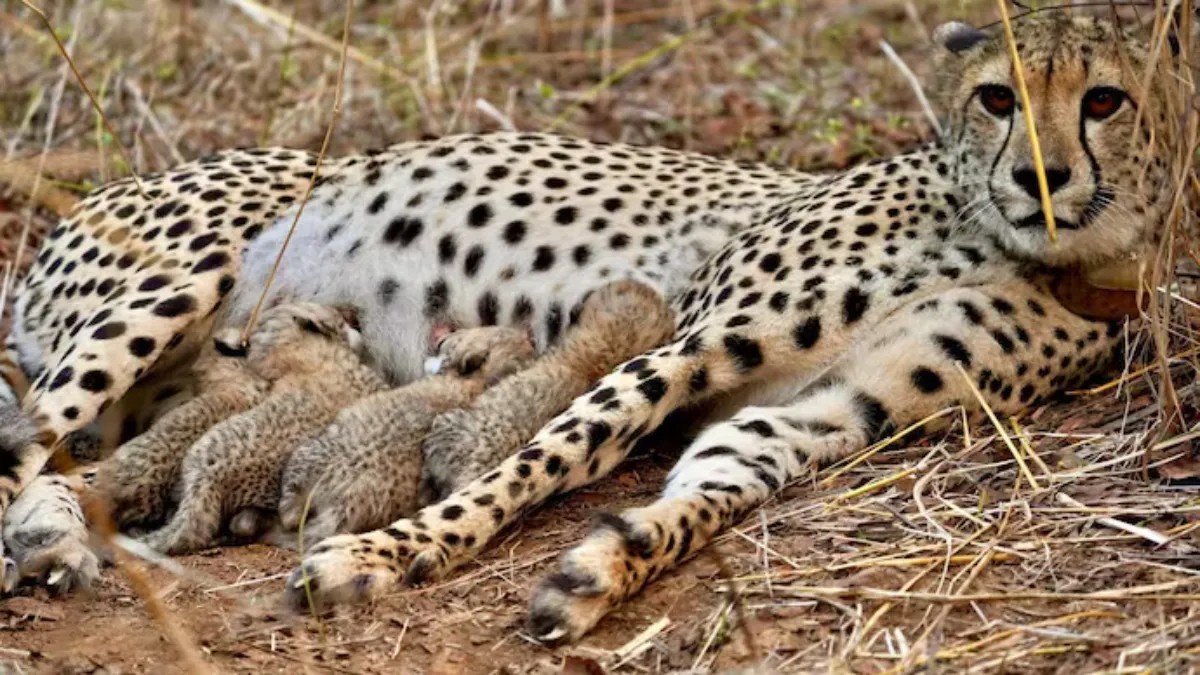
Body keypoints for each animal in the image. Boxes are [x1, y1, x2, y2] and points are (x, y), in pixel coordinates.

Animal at [0, 13, 1176, 646]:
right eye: (995, 96)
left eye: (1105, 99)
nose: (1040, 177)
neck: (1039, 250)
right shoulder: (688, 342)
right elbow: (542, 457)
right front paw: (392, 552)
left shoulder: (825, 411)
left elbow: (704, 492)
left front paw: (601, 572)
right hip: (172, 284)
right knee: (25, 442)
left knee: (75, 461)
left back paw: (66, 536)